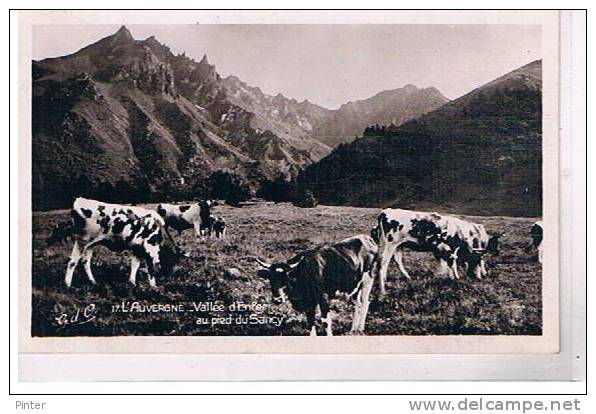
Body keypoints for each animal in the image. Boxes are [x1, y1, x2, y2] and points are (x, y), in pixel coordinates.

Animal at [48, 197, 182, 288]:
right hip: (82, 241)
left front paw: (132, 283)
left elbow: (135, 264)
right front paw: (154, 287)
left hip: (90, 245)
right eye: (172, 260)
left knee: (86, 262)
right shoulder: (149, 248)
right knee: (72, 262)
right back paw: (68, 285)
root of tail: (79, 200)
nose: (169, 276)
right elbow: (150, 269)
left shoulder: (136, 248)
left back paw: (93, 282)